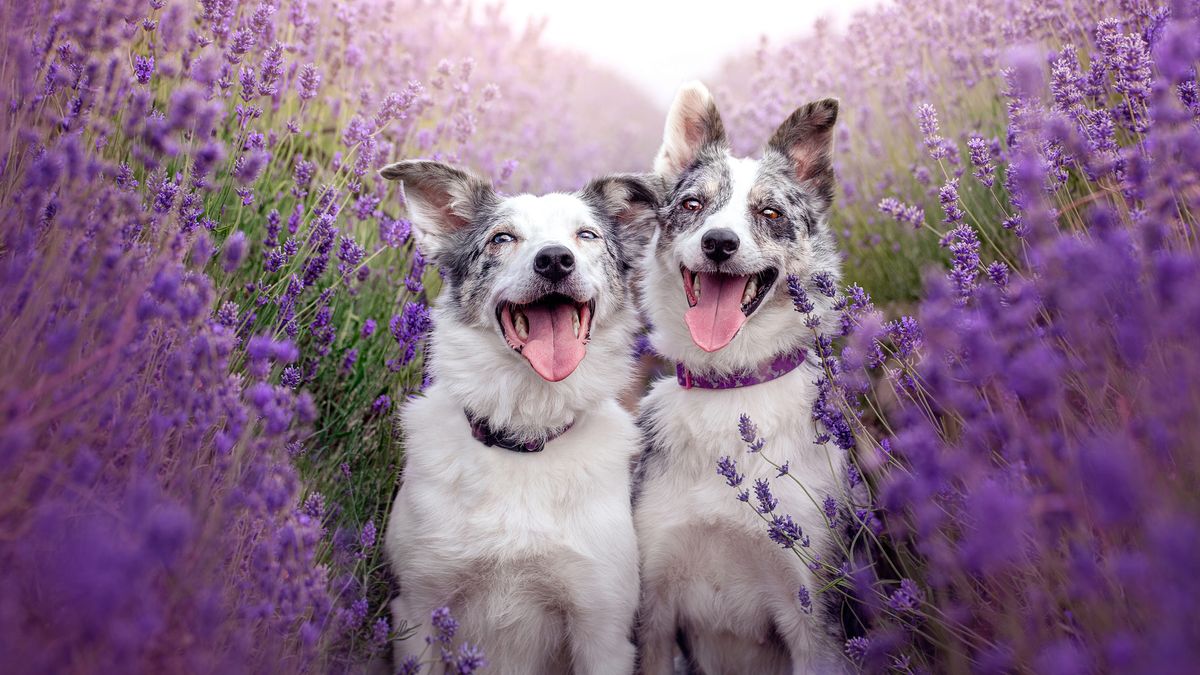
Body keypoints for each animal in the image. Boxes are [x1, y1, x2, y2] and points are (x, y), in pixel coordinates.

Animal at [379, 158, 662, 672]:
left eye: (586, 235)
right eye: (502, 237)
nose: (554, 260)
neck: (524, 437)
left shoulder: (602, 630)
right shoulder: (418, 608)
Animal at [633, 84, 849, 672]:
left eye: (769, 212)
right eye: (692, 205)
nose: (719, 243)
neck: (730, 388)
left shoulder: (814, 615)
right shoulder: (651, 613)